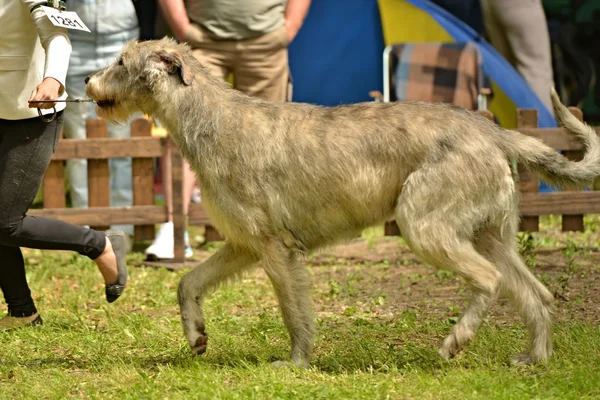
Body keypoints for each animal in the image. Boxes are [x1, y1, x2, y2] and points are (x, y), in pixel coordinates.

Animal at [84, 38, 600, 368]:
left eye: (121, 61)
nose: (87, 77)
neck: (208, 118)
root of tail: (491, 129)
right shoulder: (244, 245)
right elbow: (187, 283)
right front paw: (196, 335)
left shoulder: (276, 249)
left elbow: (294, 313)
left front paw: (295, 364)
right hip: (491, 234)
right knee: (538, 293)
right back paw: (533, 360)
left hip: (424, 225)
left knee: (489, 280)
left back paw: (457, 340)